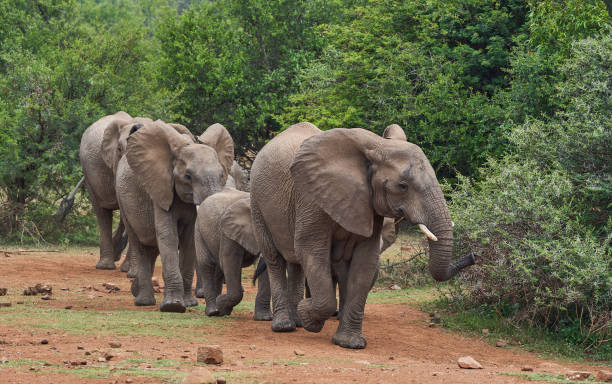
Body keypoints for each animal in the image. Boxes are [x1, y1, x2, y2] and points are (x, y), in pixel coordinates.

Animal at [116, 121, 233, 314]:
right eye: (188, 176)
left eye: (221, 175)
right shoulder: (160, 188)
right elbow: (168, 234)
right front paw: (173, 306)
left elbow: (189, 239)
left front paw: (189, 304)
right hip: (123, 201)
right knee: (139, 243)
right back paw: (144, 301)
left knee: (152, 248)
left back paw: (136, 290)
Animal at [195, 188, 272, 320]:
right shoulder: (227, 232)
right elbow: (229, 261)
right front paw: (220, 303)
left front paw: (264, 318)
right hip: (199, 230)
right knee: (207, 264)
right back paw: (213, 311)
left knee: (218, 270)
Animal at [249, 122, 474, 348]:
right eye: (403, 186)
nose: (473, 256)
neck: (378, 145)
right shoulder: (311, 198)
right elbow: (311, 249)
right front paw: (309, 319)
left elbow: (365, 262)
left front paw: (350, 343)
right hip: (257, 203)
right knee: (275, 259)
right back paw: (284, 326)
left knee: (296, 263)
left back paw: (297, 322)